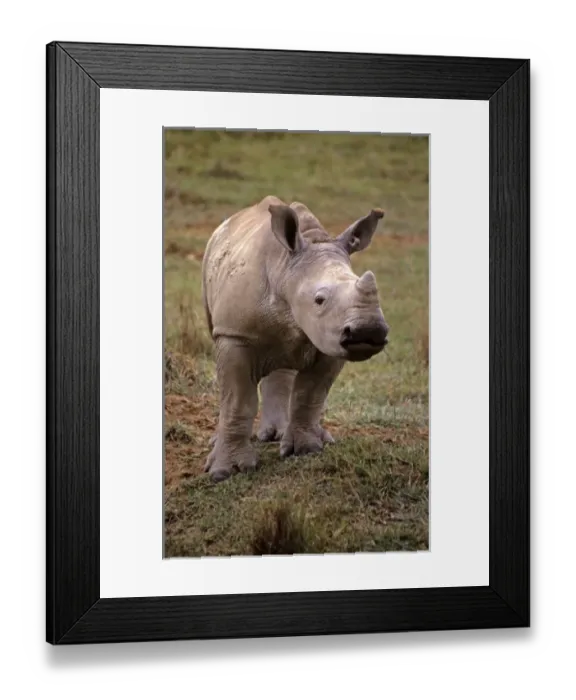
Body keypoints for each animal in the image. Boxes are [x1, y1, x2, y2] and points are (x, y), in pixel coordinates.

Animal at [201, 195, 390, 482]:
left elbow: (310, 393)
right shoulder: (234, 334)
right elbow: (237, 400)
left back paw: (294, 435)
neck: (286, 271)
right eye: (319, 300)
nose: (368, 331)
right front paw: (227, 471)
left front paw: (307, 448)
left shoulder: (329, 338)